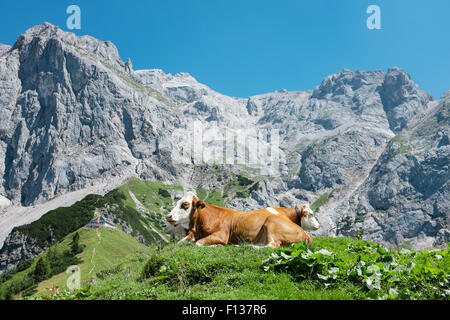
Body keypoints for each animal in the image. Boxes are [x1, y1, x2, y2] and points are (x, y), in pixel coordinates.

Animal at [165, 191, 320, 246]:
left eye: (185, 204)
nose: (168, 216)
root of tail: (304, 232)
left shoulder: (221, 235)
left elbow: (198, 243)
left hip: (271, 224)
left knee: (271, 246)